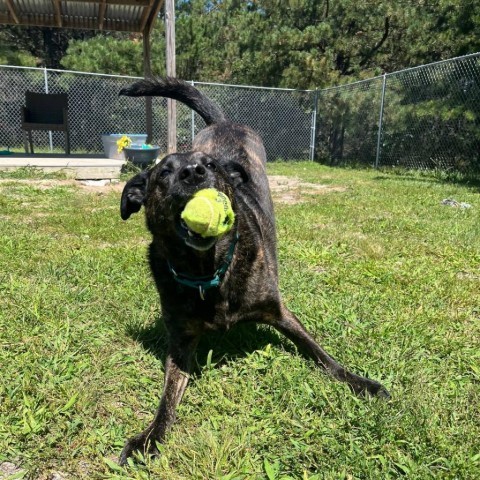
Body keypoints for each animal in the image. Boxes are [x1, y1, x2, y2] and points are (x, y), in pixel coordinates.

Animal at [117, 77, 390, 464]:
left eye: (211, 167)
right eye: (164, 172)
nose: (194, 172)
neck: (209, 271)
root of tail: (224, 122)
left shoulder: (281, 313)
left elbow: (324, 357)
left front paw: (360, 382)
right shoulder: (181, 342)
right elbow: (167, 397)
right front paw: (149, 437)